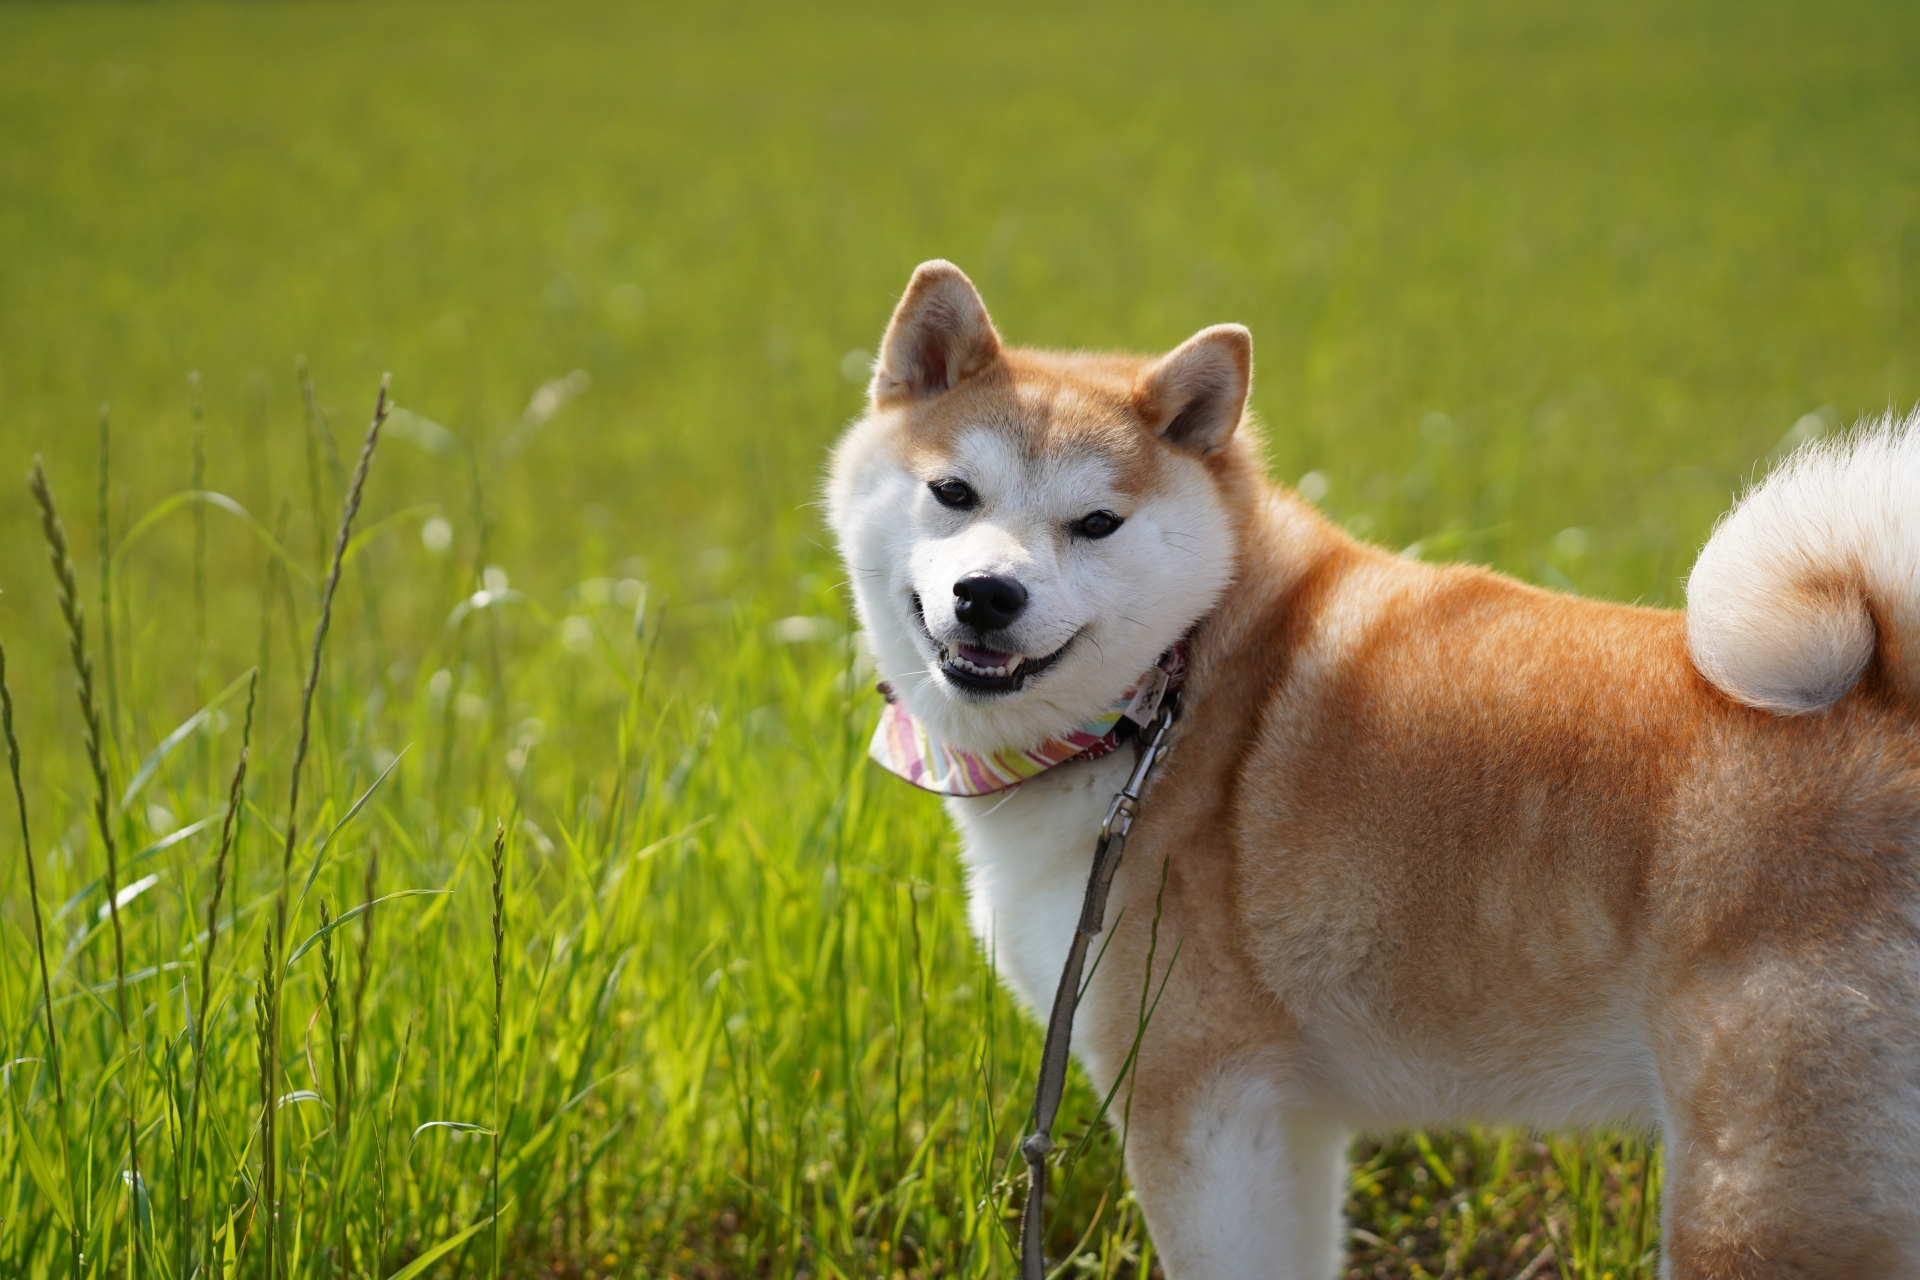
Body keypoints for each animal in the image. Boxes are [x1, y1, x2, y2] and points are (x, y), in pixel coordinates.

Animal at [821, 262, 1920, 1280]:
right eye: (953, 493)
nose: (988, 594)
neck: (1166, 690)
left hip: (1760, 1204)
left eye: (1098, 523)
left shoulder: (1197, 1097)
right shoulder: (1287, 1121)